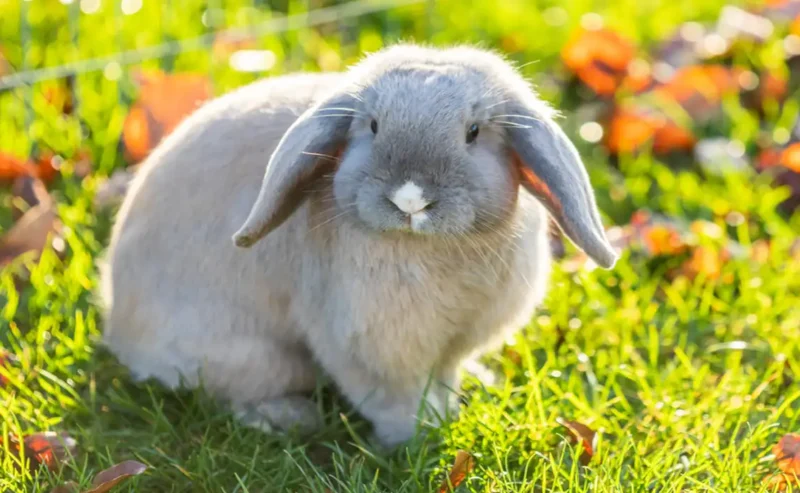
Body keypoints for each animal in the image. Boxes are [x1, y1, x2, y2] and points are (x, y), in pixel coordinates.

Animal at [99, 43, 618, 448]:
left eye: (473, 133)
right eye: (371, 126)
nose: (410, 198)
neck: (433, 247)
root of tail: (120, 330)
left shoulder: (452, 346)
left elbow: (447, 372)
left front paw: (460, 398)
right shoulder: (368, 347)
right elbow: (397, 401)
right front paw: (421, 436)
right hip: (254, 358)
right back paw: (287, 418)